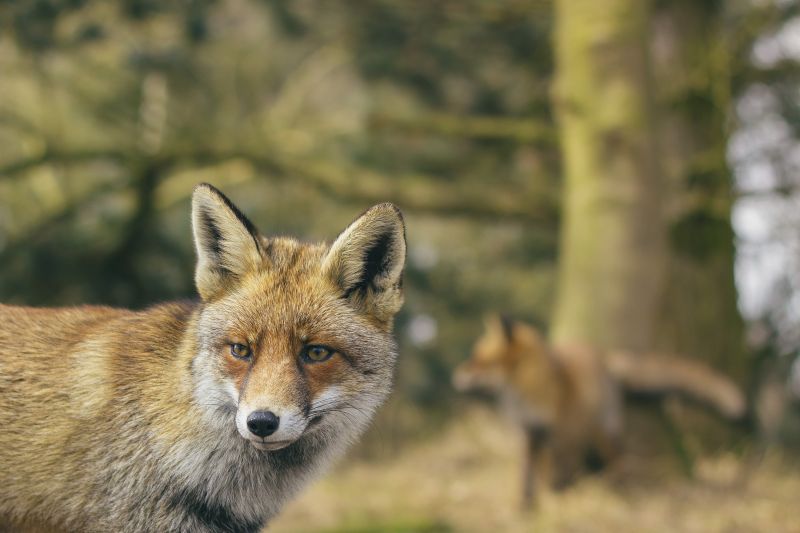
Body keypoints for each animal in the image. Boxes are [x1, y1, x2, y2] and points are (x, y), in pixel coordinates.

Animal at [453, 314, 746, 508]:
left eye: (479, 360)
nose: (455, 375)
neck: (529, 391)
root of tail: (604, 356)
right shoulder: (529, 435)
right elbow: (526, 477)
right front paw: (526, 508)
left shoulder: (565, 436)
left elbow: (561, 476)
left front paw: (558, 500)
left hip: (605, 431)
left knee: (618, 461)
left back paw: (619, 490)